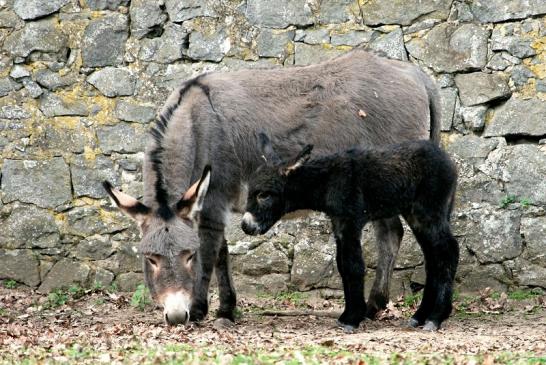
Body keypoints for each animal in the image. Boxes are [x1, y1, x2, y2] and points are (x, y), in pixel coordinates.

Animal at [240, 134, 456, 330]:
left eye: (264, 195)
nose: (245, 226)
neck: (327, 181)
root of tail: (448, 160)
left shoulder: (351, 223)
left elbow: (354, 266)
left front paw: (353, 319)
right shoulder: (339, 225)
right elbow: (342, 266)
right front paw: (347, 315)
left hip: (428, 211)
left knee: (448, 251)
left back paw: (435, 317)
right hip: (416, 216)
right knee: (433, 259)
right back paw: (421, 316)